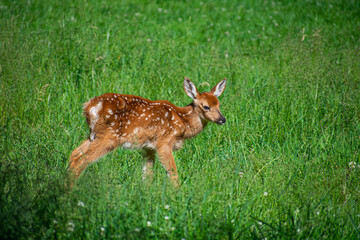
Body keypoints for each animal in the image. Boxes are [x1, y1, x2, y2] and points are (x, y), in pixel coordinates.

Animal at [68, 78, 226, 187]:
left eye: (219, 105)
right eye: (206, 106)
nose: (222, 119)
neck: (183, 121)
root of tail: (89, 107)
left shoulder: (148, 148)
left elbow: (147, 175)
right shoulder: (164, 141)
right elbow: (172, 172)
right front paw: (177, 195)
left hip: (93, 135)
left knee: (74, 153)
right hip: (110, 136)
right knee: (81, 160)